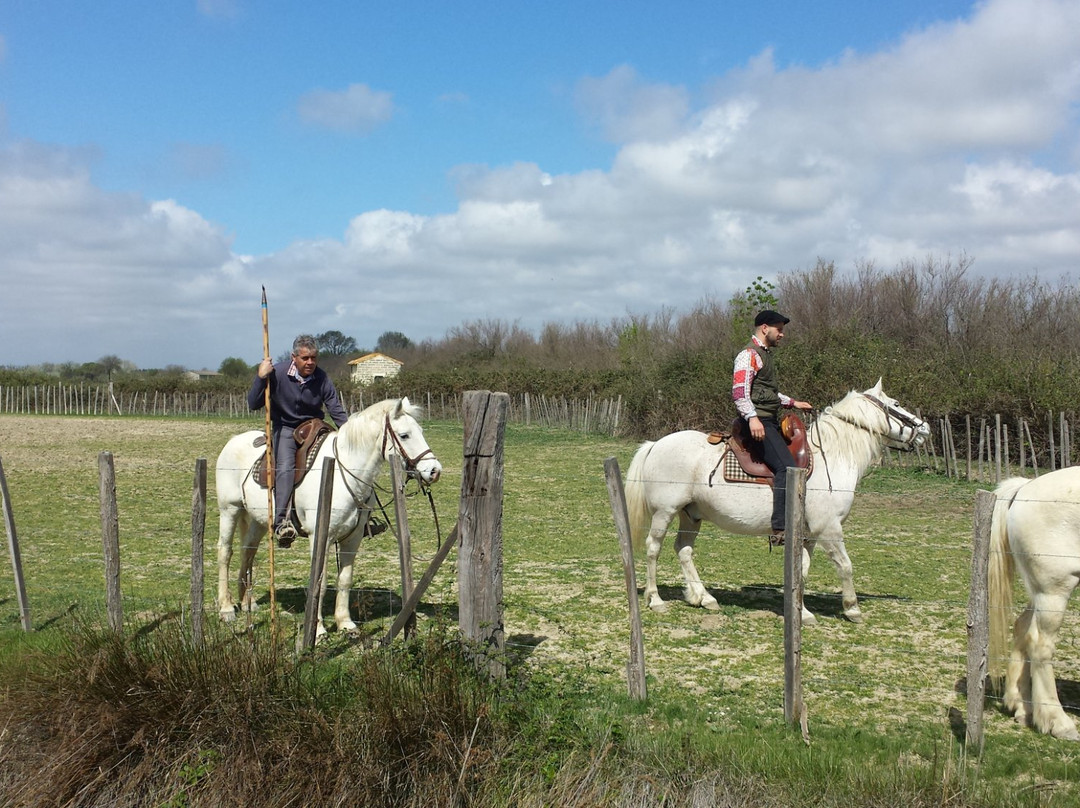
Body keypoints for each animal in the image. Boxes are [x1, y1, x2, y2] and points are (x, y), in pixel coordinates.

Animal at [216, 397, 442, 639]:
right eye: (404, 435)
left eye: (420, 431)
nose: (434, 470)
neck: (344, 474)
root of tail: (233, 441)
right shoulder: (319, 537)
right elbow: (320, 583)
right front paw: (318, 630)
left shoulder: (352, 538)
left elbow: (345, 579)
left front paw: (345, 623)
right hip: (229, 510)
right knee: (225, 552)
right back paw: (227, 608)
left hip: (258, 520)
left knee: (247, 552)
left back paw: (247, 602)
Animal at [626, 380, 928, 626]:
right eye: (896, 404)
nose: (925, 428)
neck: (832, 456)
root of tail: (655, 444)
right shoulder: (828, 528)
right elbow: (845, 565)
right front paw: (852, 609)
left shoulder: (808, 535)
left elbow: (801, 572)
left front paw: (801, 613)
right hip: (665, 512)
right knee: (653, 549)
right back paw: (655, 599)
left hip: (691, 515)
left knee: (684, 550)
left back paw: (703, 597)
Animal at [989, 470, 1080, 743]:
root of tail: (1024, 487)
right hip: (1054, 590)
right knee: (1040, 644)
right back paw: (1057, 721)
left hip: (1039, 592)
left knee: (1022, 628)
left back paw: (1022, 707)